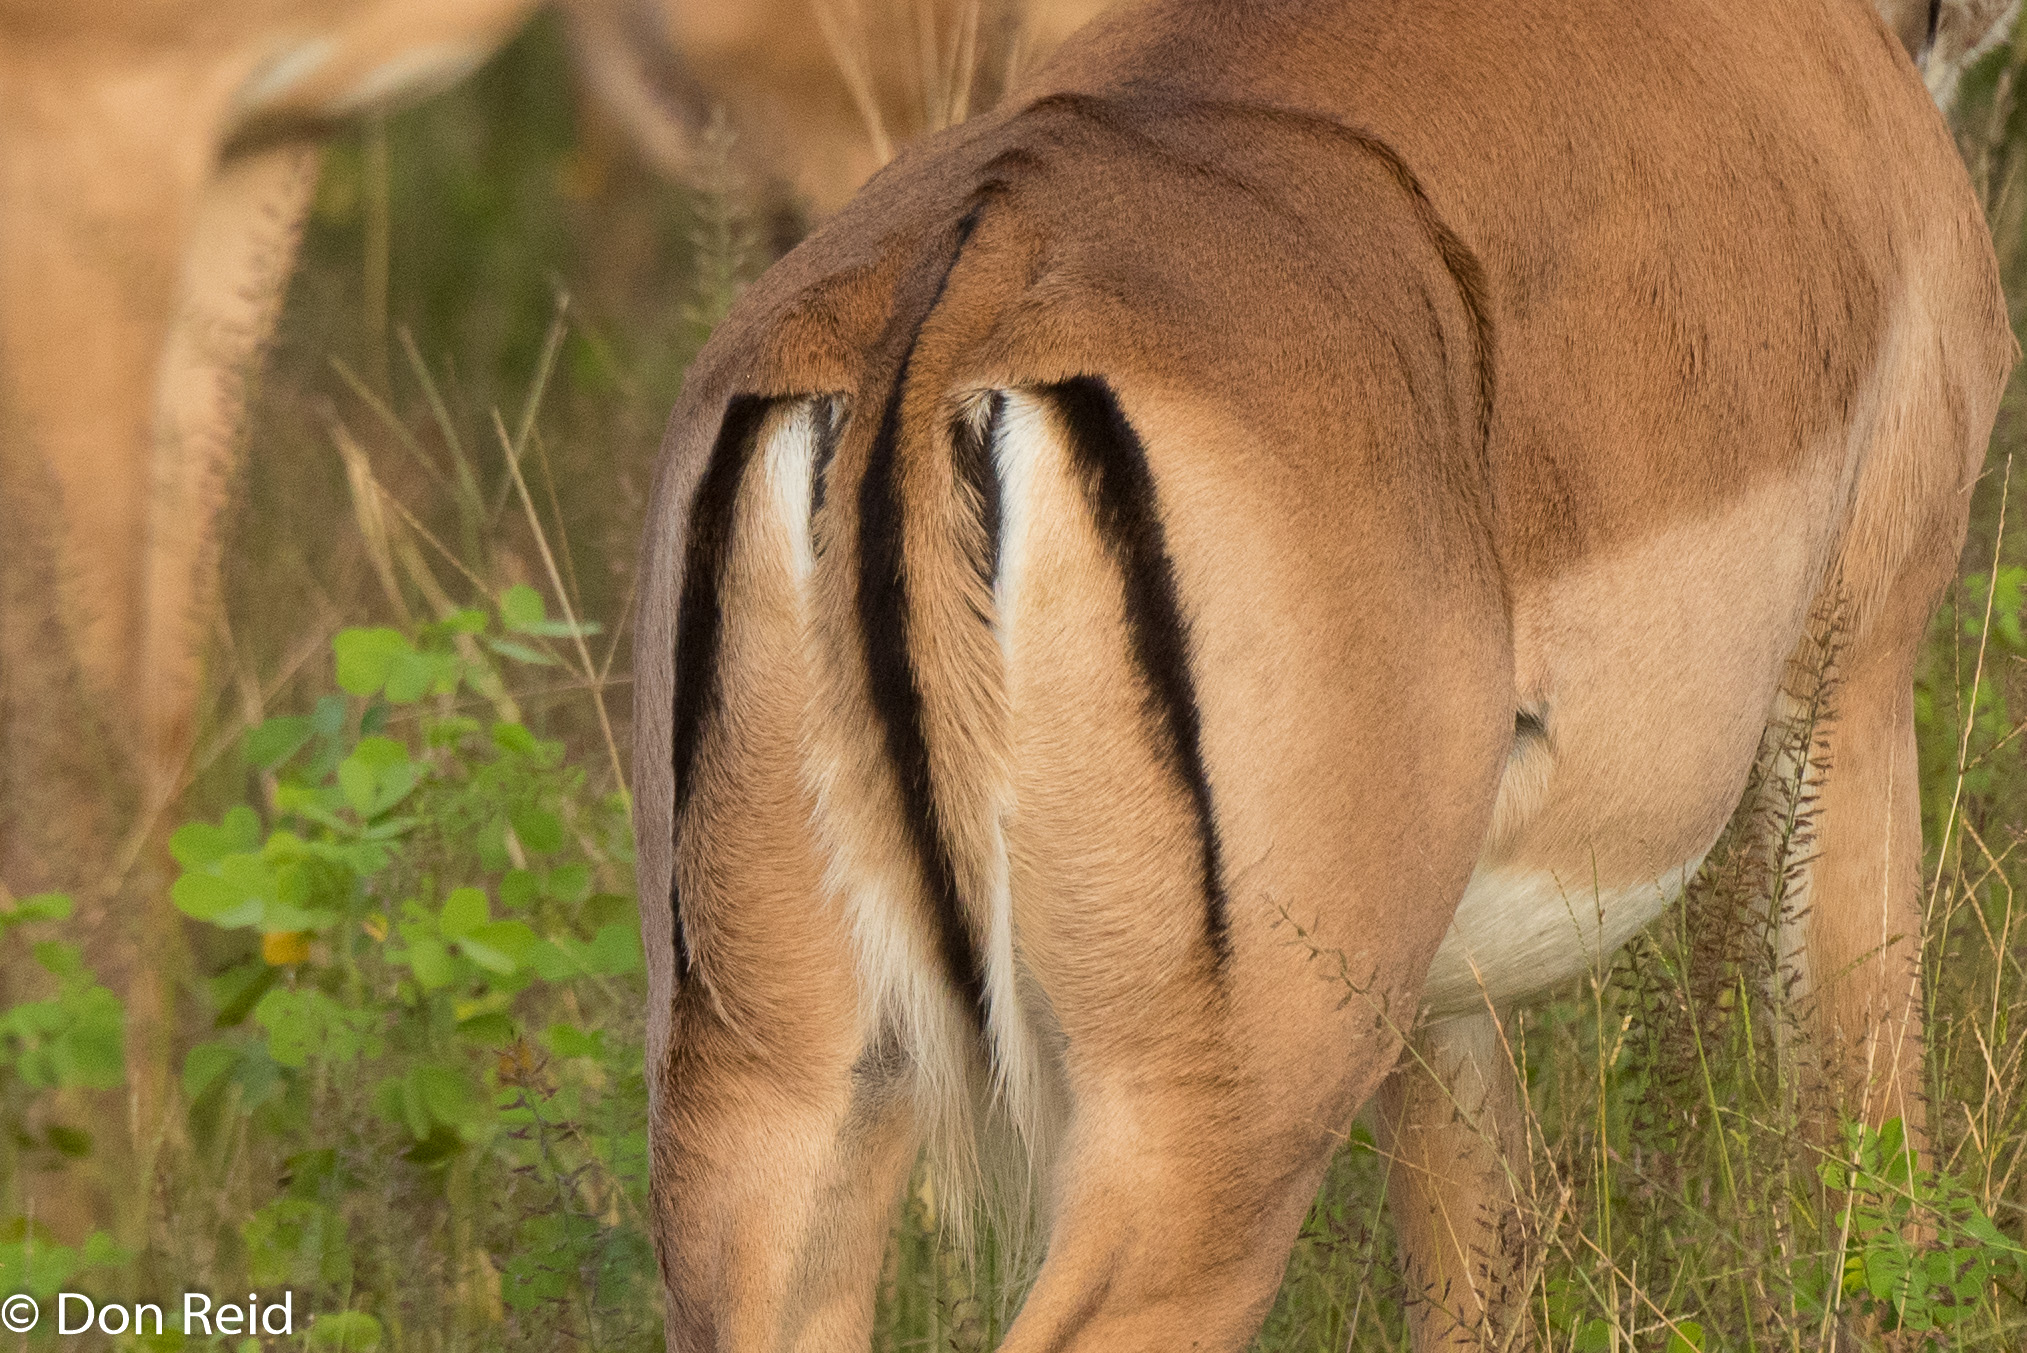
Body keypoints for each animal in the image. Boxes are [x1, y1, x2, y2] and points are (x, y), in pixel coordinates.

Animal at [634, 0, 2016, 1348]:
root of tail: (960, 294)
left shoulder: (1432, 994)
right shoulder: (1855, 682)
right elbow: (1865, 1153)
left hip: (776, 1094)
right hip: (1203, 1140)